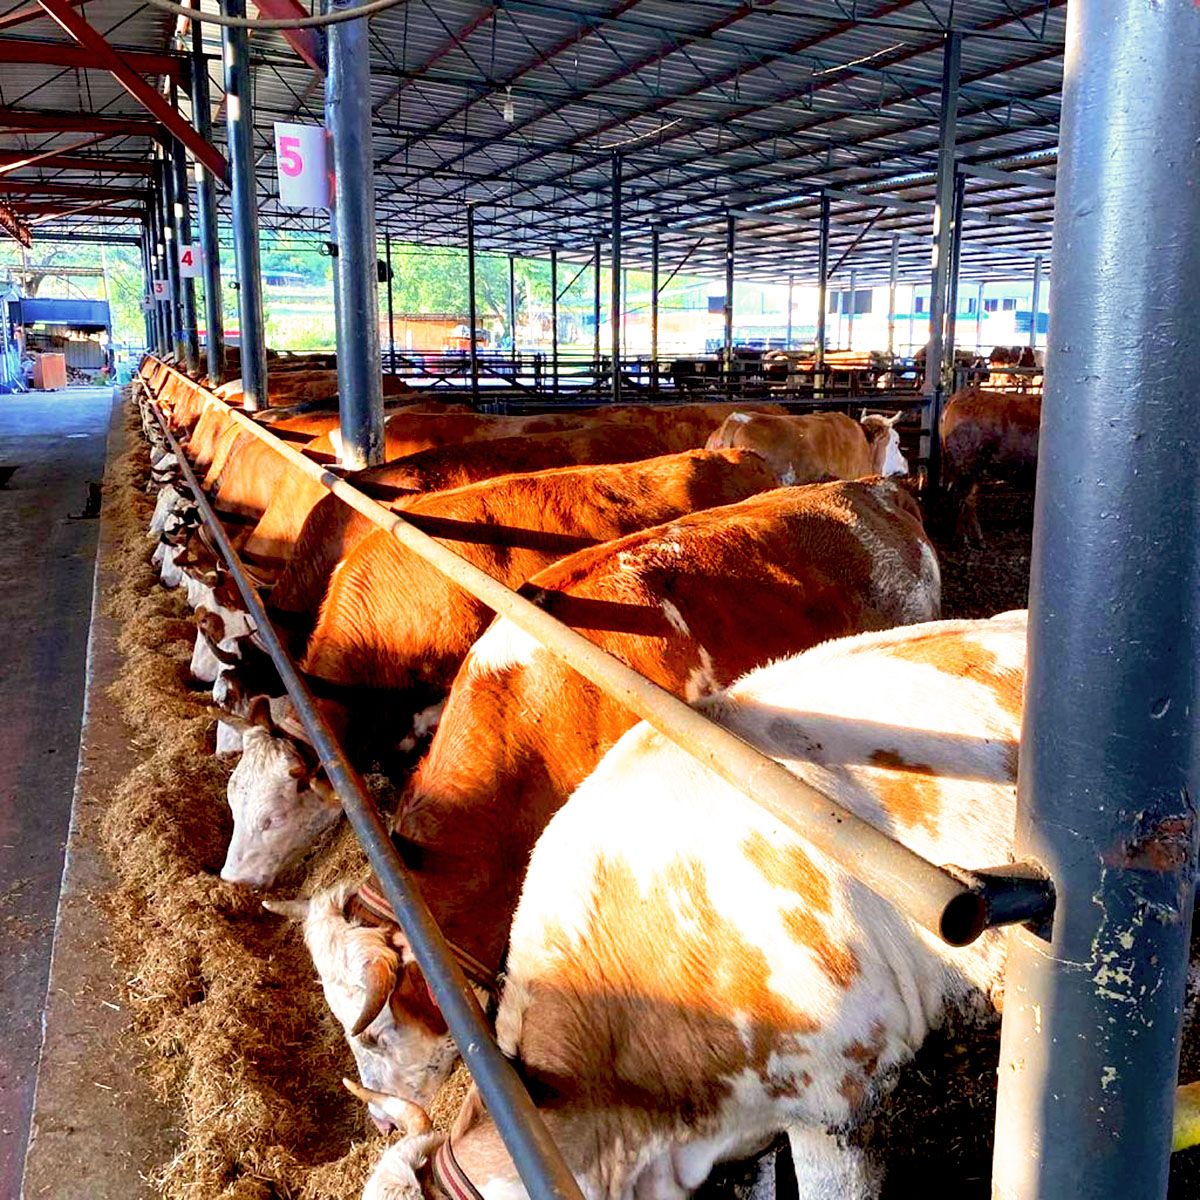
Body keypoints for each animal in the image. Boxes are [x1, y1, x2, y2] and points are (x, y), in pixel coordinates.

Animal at [939, 387, 1041, 544]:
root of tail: (960, 395)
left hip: (973, 469)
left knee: (968, 498)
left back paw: (977, 538)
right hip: (966, 465)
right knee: (960, 497)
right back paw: (962, 538)